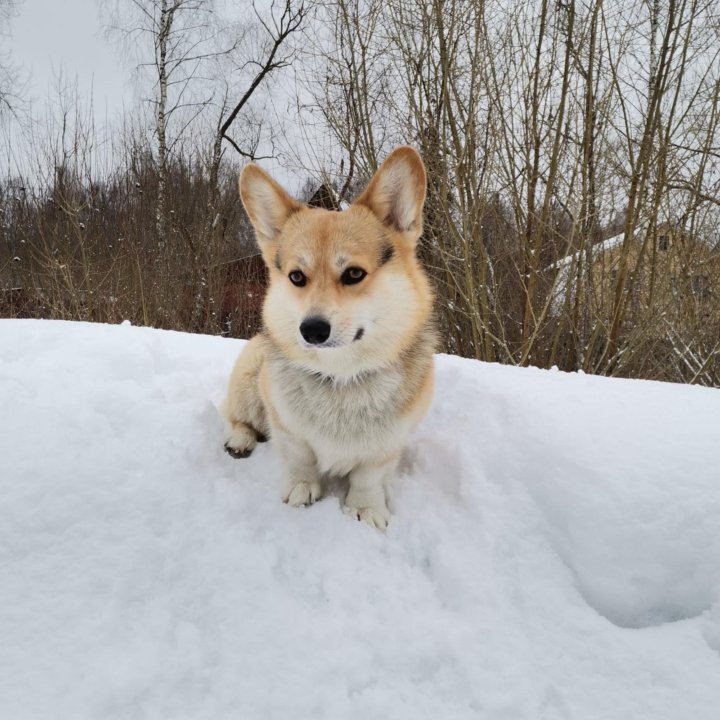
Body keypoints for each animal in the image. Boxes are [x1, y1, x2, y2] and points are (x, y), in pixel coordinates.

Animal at [219, 146, 436, 528]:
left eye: (354, 274)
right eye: (296, 277)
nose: (312, 330)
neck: (340, 376)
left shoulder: (387, 444)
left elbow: (368, 476)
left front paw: (365, 509)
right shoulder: (289, 430)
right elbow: (300, 458)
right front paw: (301, 490)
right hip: (249, 377)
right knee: (237, 418)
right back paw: (240, 440)